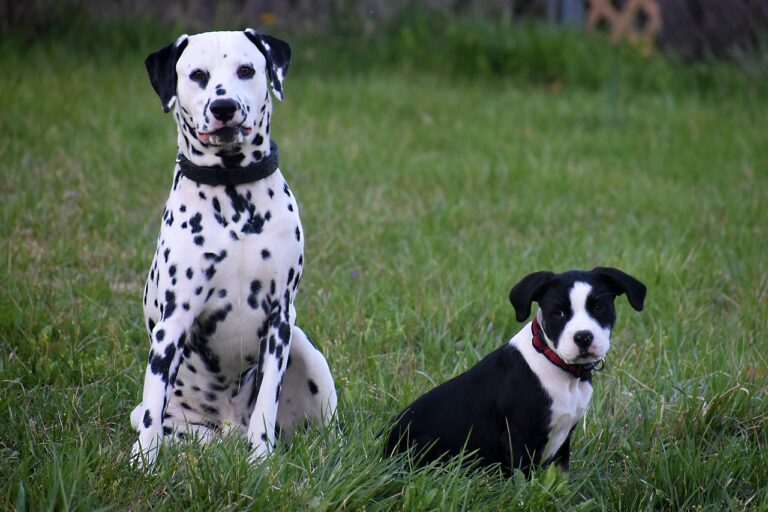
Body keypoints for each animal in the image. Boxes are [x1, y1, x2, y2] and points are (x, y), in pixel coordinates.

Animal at [129, 29, 336, 468]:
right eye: (197, 75)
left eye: (245, 70)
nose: (223, 107)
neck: (232, 193)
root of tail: (226, 429)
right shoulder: (173, 322)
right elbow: (153, 403)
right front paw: (140, 465)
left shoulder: (279, 321)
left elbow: (266, 402)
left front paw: (261, 460)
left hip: (305, 349)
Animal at [388, 268, 644, 476]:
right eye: (558, 313)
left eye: (598, 307)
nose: (583, 337)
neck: (557, 365)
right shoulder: (518, 439)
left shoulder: (563, 442)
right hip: (425, 446)